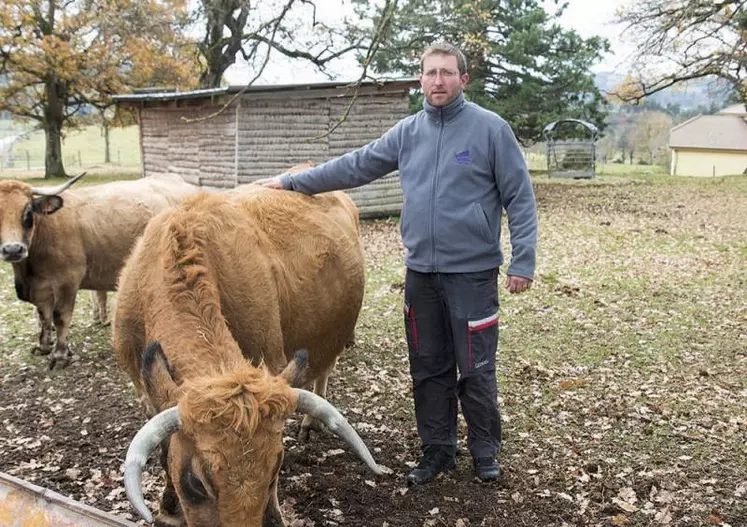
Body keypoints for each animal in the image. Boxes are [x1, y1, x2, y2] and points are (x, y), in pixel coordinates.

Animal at [0, 175, 200, 370]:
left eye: (28, 213)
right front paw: (43, 346)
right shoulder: (42, 288)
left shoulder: (67, 281)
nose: (13, 249)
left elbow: (60, 317)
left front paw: (60, 355)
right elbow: (44, 317)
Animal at [113, 185, 376, 524]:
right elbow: (164, 447)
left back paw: (310, 423)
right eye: (195, 482)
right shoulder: (144, 389)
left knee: (323, 373)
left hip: (333, 338)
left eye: (275, 467)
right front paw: (169, 509)